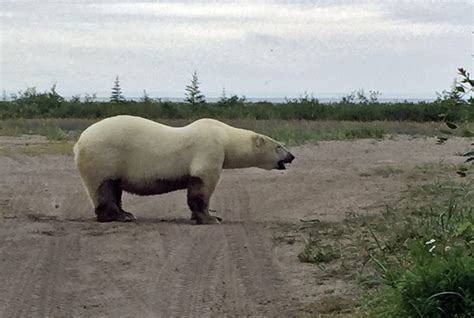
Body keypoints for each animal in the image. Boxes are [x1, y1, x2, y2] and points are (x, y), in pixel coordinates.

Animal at [72, 115, 294, 224]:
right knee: (104, 187)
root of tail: (78, 142)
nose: (292, 156)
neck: (224, 136)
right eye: (279, 146)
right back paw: (119, 216)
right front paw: (210, 219)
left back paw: (126, 212)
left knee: (115, 187)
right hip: (104, 156)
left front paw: (212, 217)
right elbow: (202, 185)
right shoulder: (209, 149)